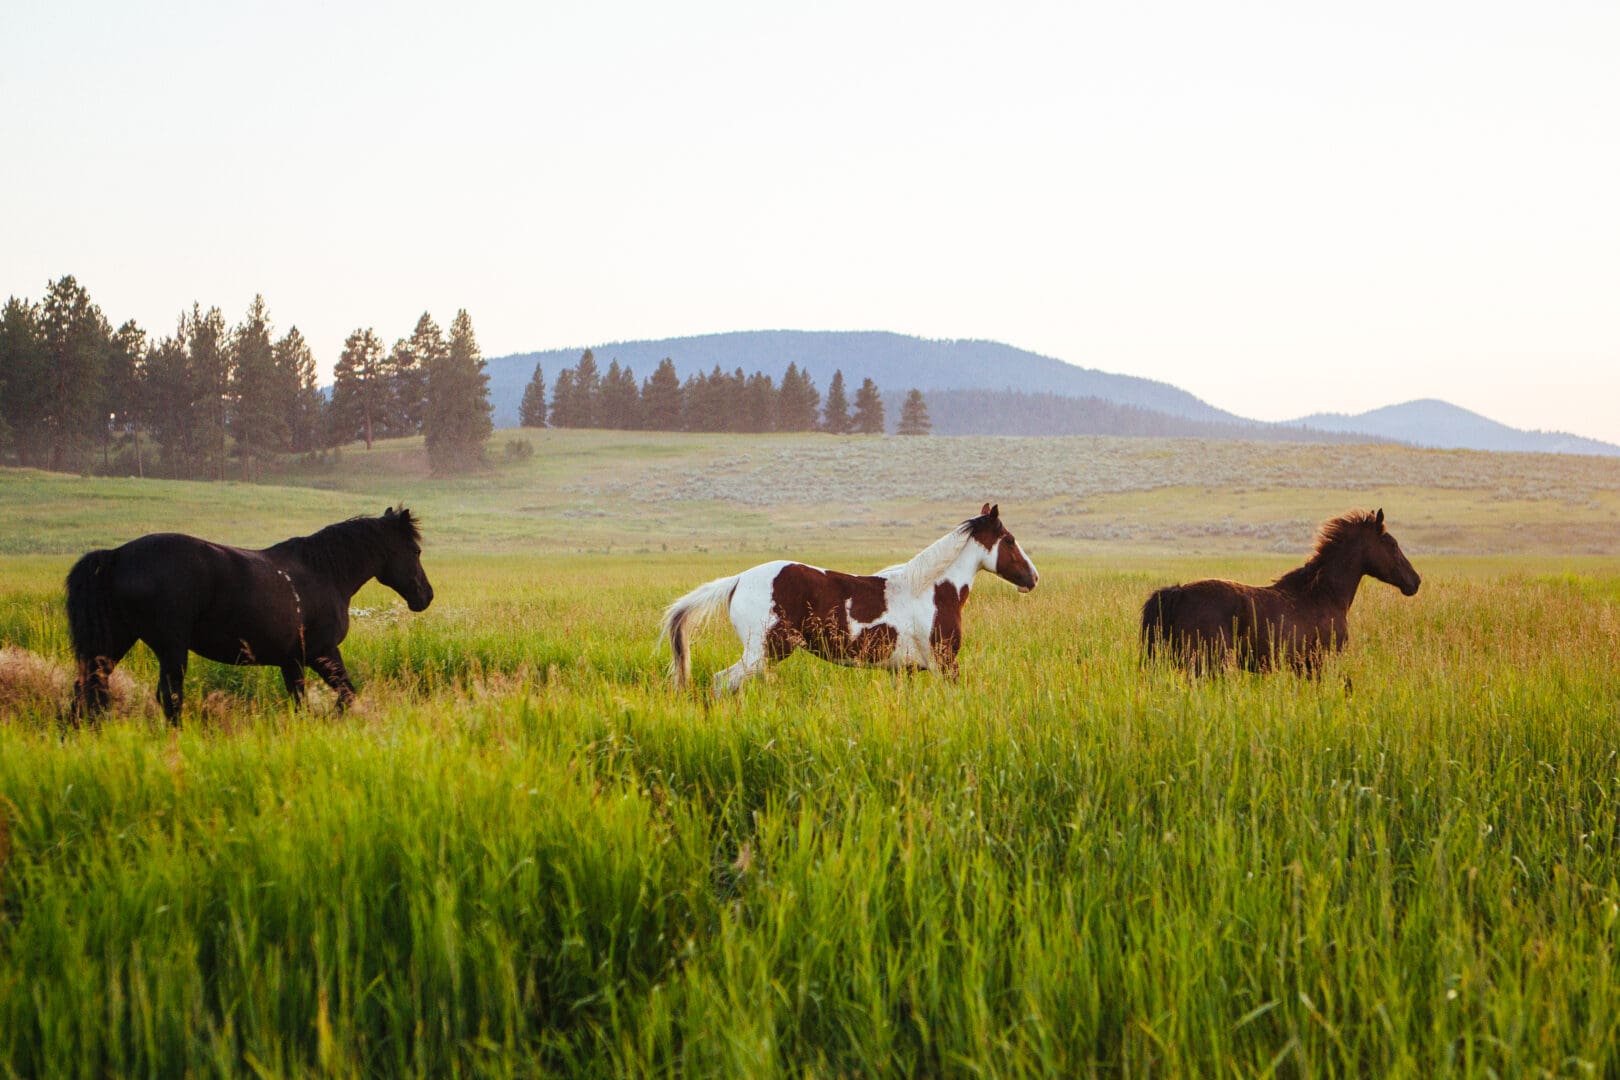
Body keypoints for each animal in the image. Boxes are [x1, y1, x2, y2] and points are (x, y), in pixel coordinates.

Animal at [66, 506, 433, 724]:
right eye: (415, 551)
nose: (426, 596)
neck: (324, 573)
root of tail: (116, 556)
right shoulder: (323, 653)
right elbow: (347, 693)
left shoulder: (292, 661)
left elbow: (301, 701)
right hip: (171, 649)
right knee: (169, 697)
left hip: (114, 642)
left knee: (87, 688)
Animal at [661, 503, 1039, 693]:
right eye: (1009, 539)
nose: (1033, 578)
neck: (932, 590)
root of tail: (737, 580)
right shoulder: (945, 663)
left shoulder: (904, 670)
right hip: (765, 650)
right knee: (723, 682)